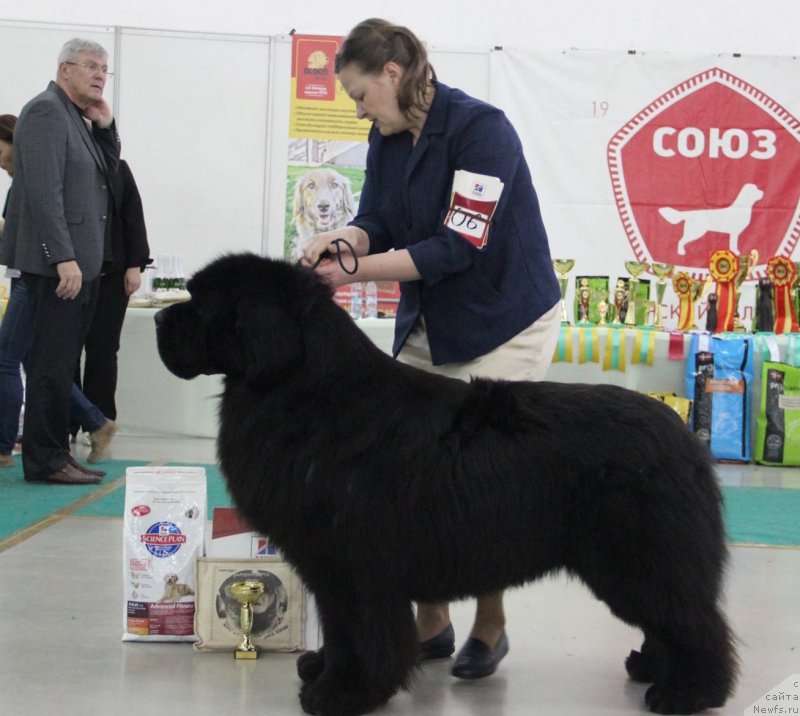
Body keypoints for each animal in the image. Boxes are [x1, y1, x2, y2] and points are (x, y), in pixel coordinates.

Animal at [155, 253, 736, 716]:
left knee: (695, 622)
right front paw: (326, 672)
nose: (159, 315)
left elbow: (363, 633)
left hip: (641, 557)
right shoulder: (328, 567)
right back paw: (652, 668)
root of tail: (682, 433)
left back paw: (687, 693)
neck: (311, 393)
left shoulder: (355, 566)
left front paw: (345, 694)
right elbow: (342, 631)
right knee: (670, 620)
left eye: (201, 305)